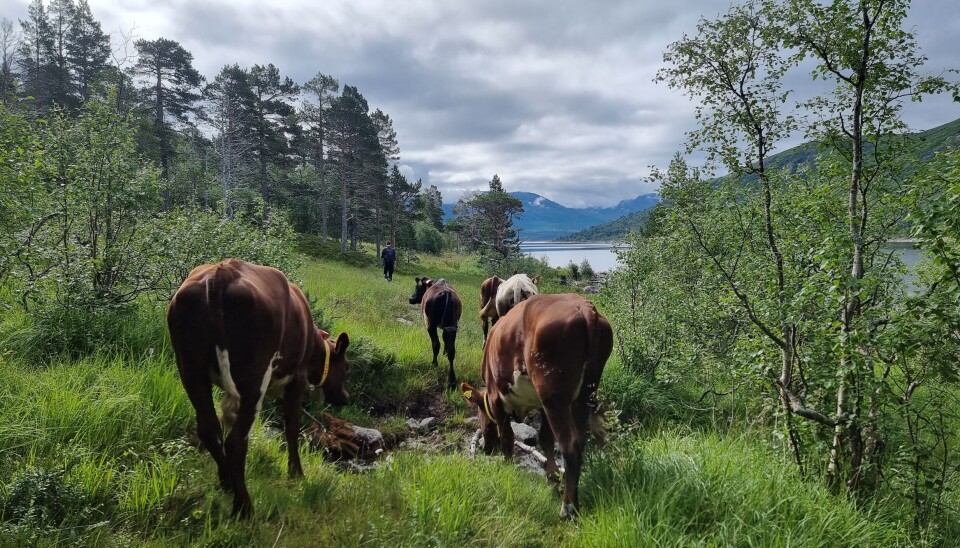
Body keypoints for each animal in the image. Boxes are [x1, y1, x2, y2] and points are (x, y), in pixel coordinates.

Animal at [167, 260, 350, 520]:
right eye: (347, 367)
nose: (345, 397)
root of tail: (220, 274)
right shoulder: (297, 378)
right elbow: (291, 427)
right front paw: (296, 473)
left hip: (190, 369)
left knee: (210, 429)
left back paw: (227, 484)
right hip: (253, 378)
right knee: (236, 440)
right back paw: (244, 507)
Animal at [460, 292, 612, 520]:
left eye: (480, 414)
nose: (487, 449)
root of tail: (585, 306)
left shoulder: (497, 399)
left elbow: (507, 436)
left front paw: (507, 468)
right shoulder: (541, 405)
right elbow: (545, 439)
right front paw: (552, 479)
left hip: (554, 397)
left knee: (571, 444)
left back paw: (568, 508)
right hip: (583, 395)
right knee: (580, 439)